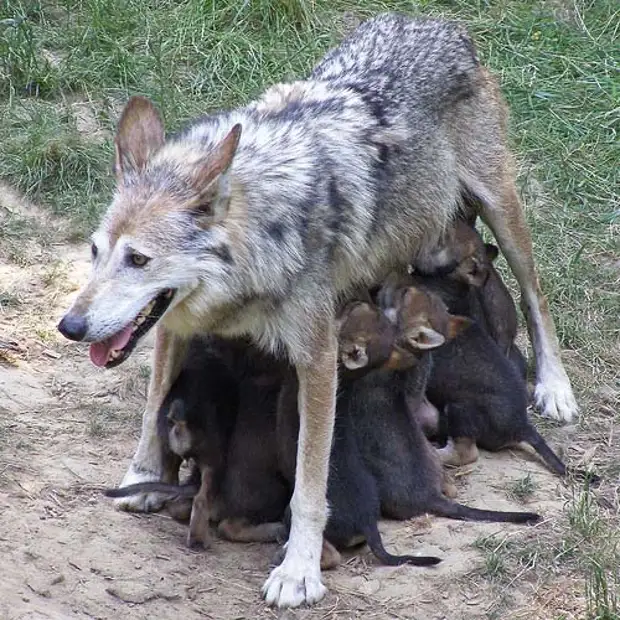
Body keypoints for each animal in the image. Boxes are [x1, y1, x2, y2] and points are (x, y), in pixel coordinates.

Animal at [58, 12, 576, 608]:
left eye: (139, 259)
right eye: (95, 251)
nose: (69, 326)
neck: (264, 239)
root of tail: (436, 22)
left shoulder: (318, 357)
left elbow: (309, 481)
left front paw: (299, 570)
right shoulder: (173, 324)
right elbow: (151, 406)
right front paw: (140, 478)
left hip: (502, 210)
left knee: (538, 297)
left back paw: (555, 388)